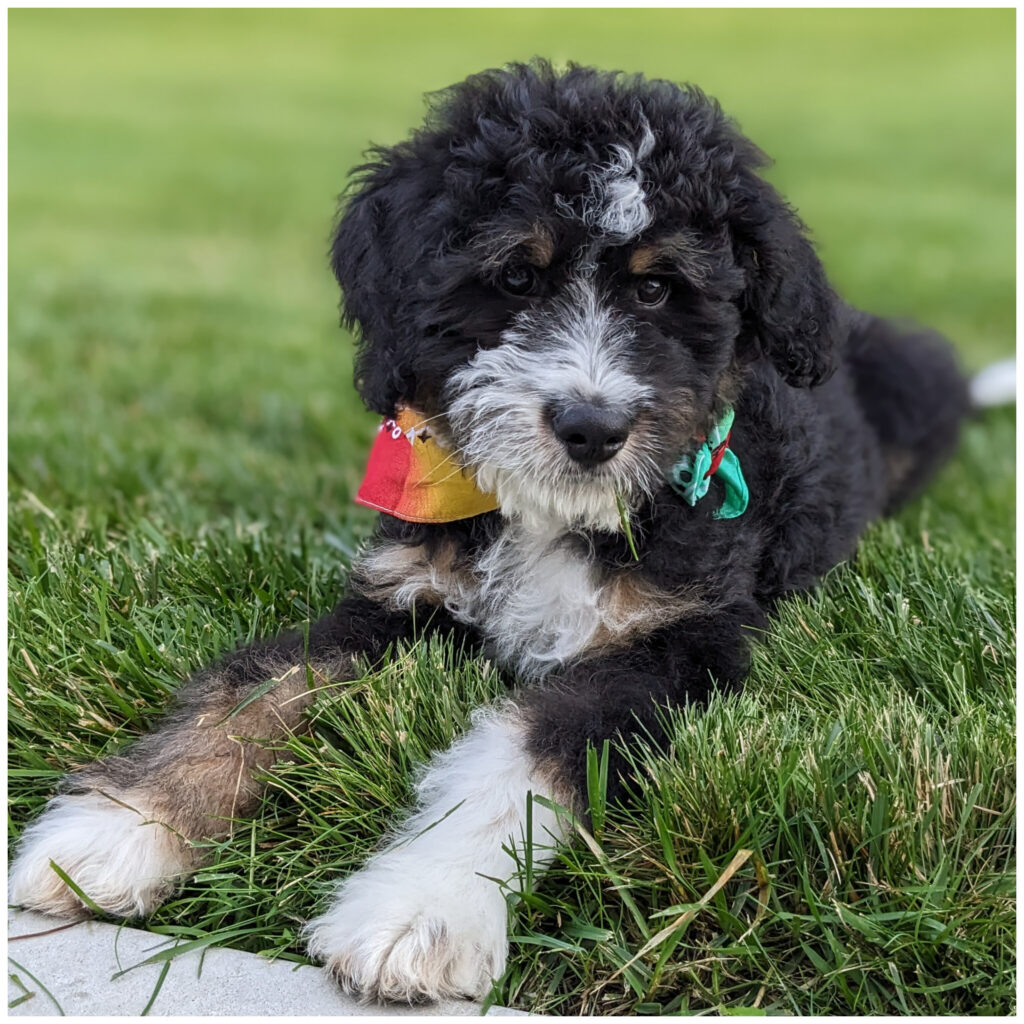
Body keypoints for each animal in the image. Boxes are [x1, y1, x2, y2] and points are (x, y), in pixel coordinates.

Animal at [9, 61, 983, 999]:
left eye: (659, 288)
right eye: (517, 276)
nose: (591, 428)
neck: (548, 514)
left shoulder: (680, 641)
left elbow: (526, 747)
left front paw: (418, 911)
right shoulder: (400, 594)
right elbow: (253, 690)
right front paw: (119, 829)